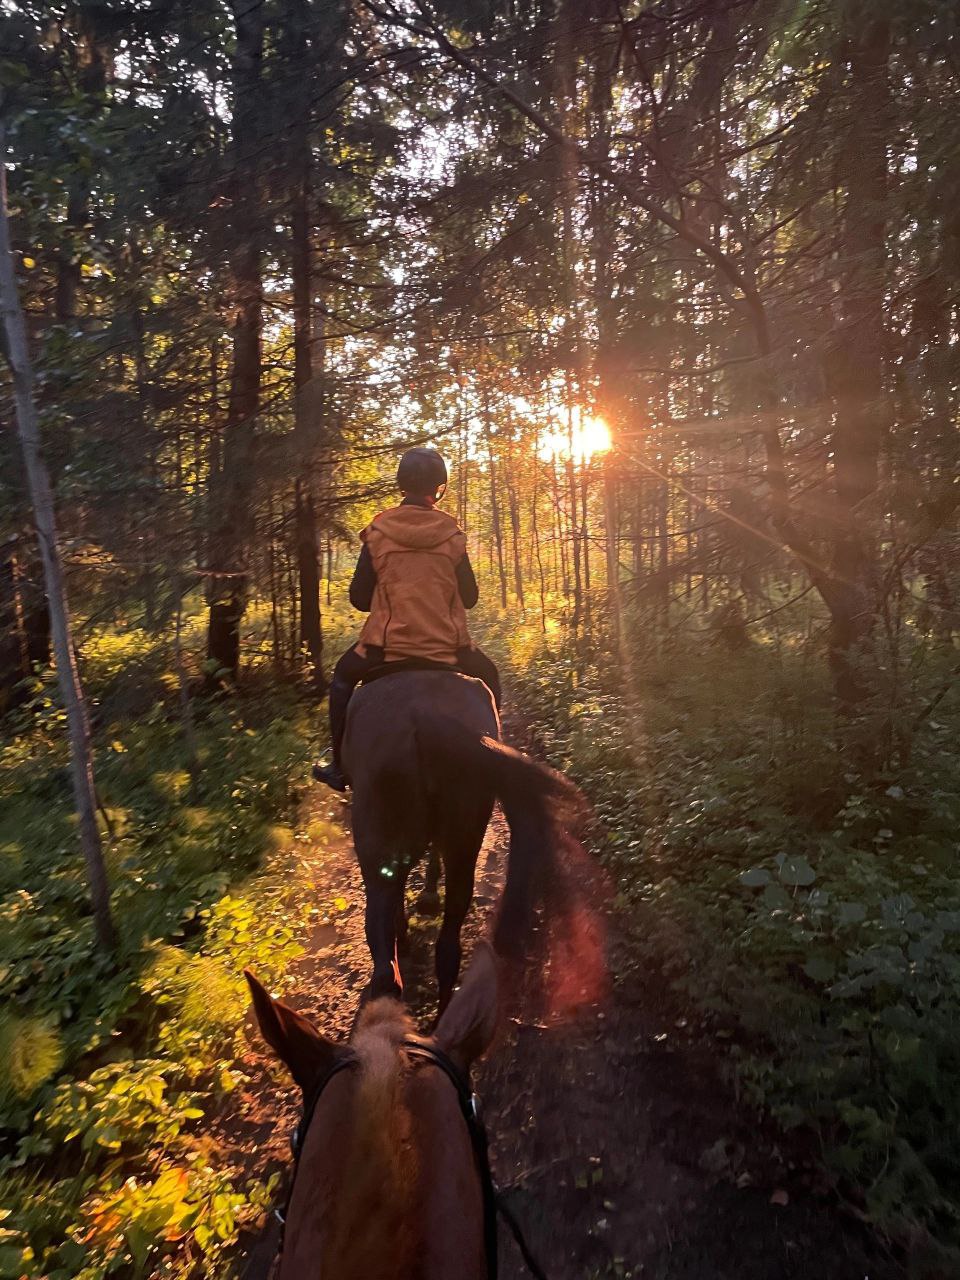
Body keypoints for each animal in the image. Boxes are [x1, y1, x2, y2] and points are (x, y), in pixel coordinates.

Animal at [343, 670, 583, 1008]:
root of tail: (425, 718)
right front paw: (429, 895)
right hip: (464, 840)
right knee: (447, 952)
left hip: (376, 849)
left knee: (384, 961)